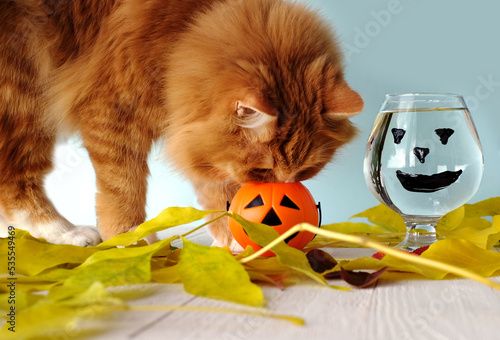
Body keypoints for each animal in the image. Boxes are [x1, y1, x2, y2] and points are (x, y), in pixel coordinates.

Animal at [0, 0, 362, 246]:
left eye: (306, 172)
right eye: (262, 171)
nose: (283, 188)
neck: (186, 30)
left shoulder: (194, 138)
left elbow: (218, 194)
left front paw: (231, 242)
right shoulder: (112, 115)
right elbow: (123, 192)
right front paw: (129, 237)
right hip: (26, 89)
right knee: (16, 183)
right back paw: (67, 233)